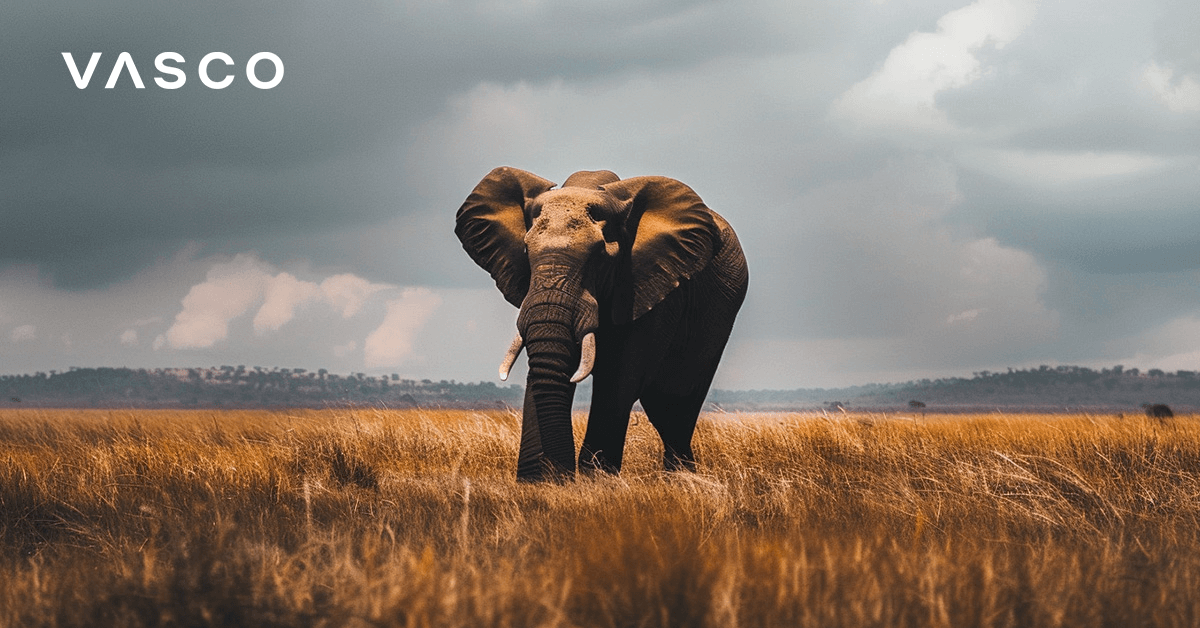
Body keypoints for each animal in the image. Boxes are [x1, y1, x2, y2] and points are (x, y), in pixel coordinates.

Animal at [455, 167, 748, 481]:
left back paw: (680, 479)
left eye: (599, 257)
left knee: (673, 404)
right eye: (525, 250)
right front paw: (537, 481)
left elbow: (620, 375)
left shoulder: (650, 283)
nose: (562, 475)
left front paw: (594, 480)